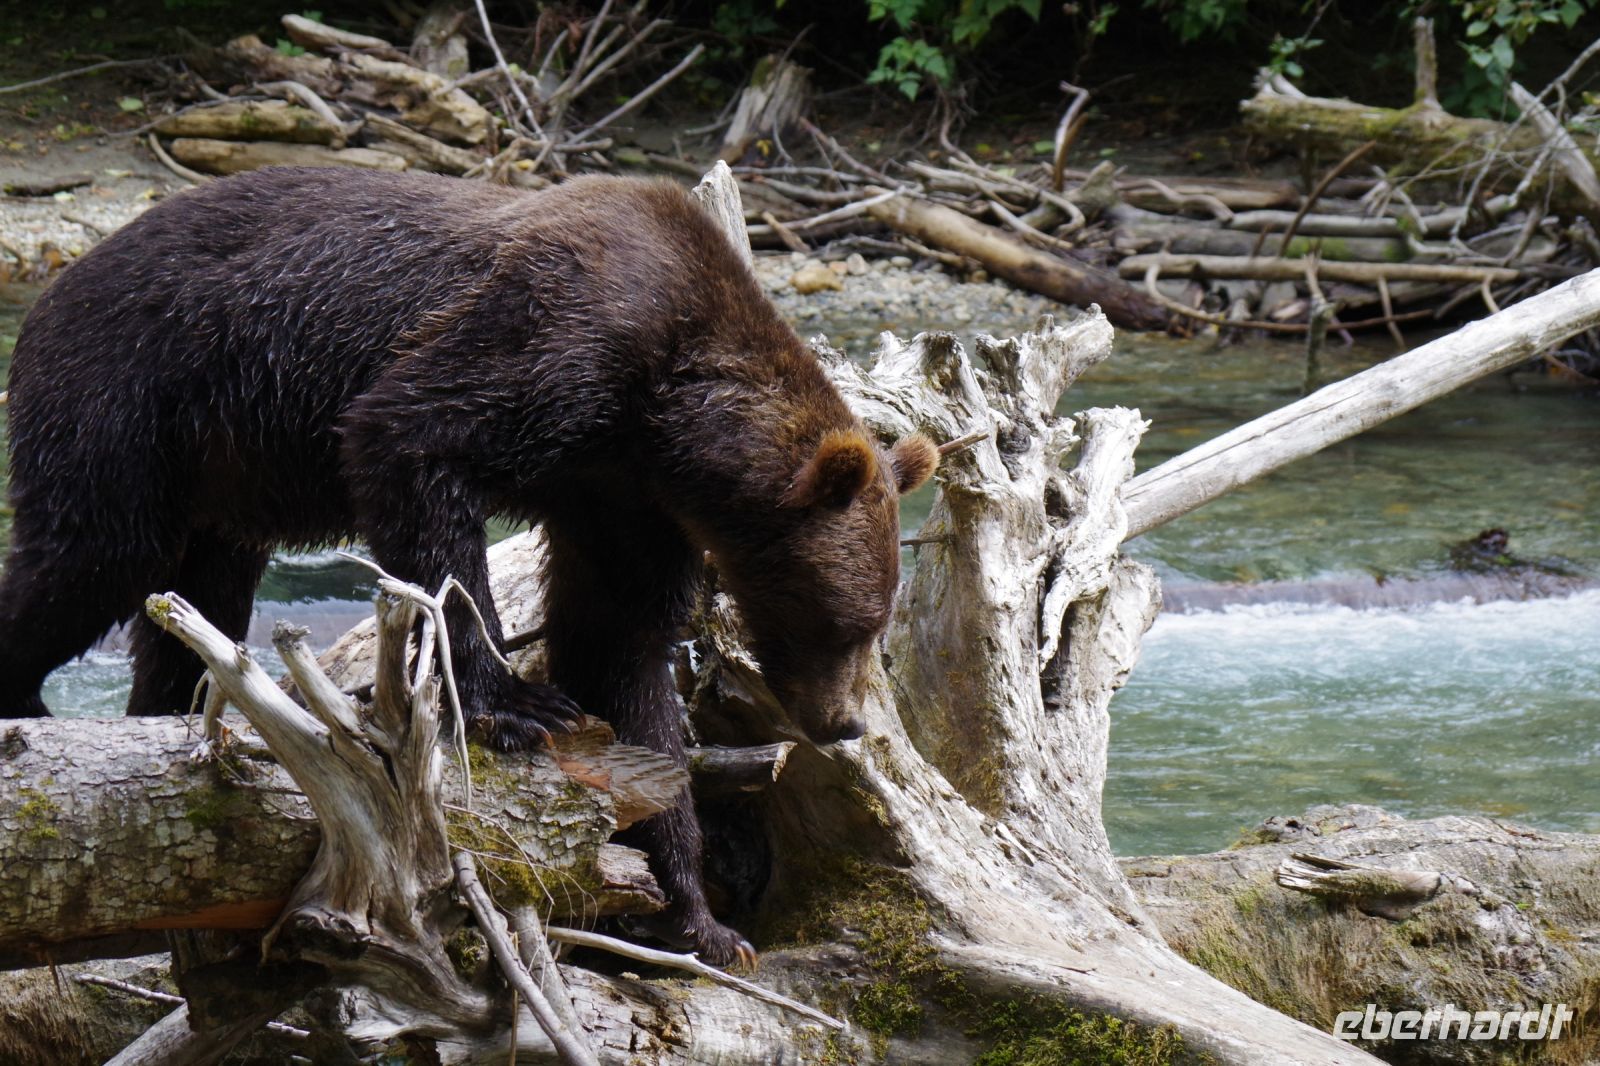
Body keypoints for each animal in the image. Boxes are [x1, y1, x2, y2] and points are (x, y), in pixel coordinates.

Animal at [0, 167, 939, 965]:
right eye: (842, 621)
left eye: (876, 625)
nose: (844, 723)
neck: (668, 412)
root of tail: (51, 291)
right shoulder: (559, 339)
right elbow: (413, 442)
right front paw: (515, 704)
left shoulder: (625, 495)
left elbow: (622, 649)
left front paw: (700, 915)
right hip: (133, 396)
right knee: (87, 557)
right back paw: (33, 707)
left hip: (223, 480)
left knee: (196, 610)